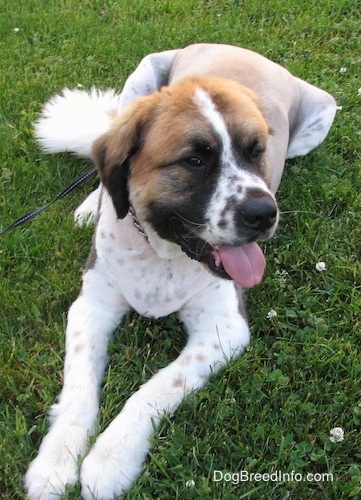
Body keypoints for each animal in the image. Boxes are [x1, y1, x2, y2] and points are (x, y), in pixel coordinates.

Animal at [23, 45, 336, 498]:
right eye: (194, 160)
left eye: (256, 151)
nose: (265, 213)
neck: (163, 250)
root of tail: (238, 48)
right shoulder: (92, 307)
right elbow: (79, 385)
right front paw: (56, 460)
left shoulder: (223, 329)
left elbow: (154, 388)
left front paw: (109, 460)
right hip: (138, 82)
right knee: (102, 173)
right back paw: (88, 206)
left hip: (320, 115)